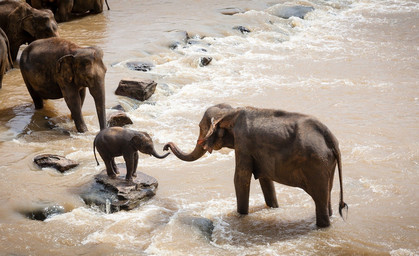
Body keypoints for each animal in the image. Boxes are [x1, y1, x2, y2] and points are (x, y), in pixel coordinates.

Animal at [166, 103, 350, 227]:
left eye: (200, 127)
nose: (166, 146)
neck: (231, 112)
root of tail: (331, 140)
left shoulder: (243, 144)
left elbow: (240, 179)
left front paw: (240, 216)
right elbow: (265, 180)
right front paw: (273, 207)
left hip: (317, 164)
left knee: (320, 199)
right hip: (327, 164)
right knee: (326, 196)